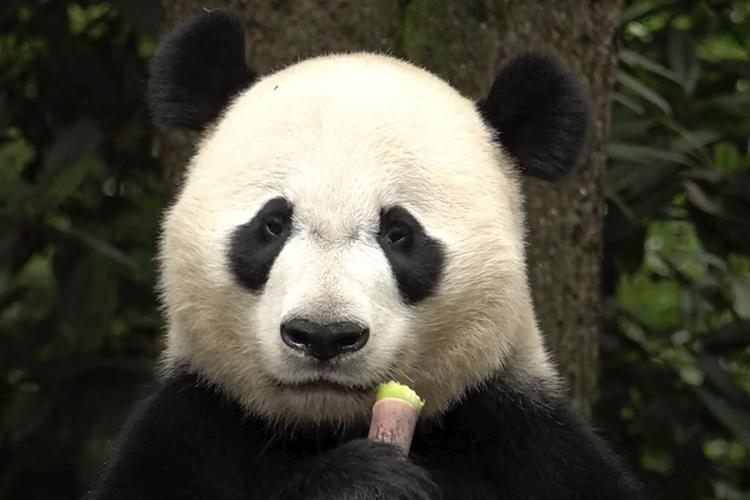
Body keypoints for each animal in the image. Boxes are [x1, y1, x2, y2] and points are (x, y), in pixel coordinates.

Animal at [89, 10, 645, 500]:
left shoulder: (526, 441)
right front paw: (363, 483)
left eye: (399, 234)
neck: (328, 426)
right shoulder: (192, 426)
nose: (324, 335)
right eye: (272, 225)